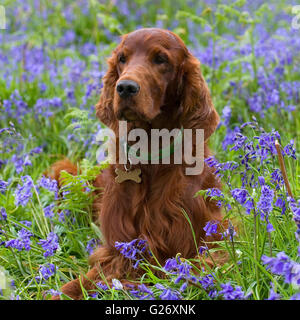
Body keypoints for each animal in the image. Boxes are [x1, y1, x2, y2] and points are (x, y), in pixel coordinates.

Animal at [50, 28, 225, 300]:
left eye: (161, 59)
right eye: (122, 58)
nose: (125, 87)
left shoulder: (197, 247)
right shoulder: (118, 249)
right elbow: (76, 284)